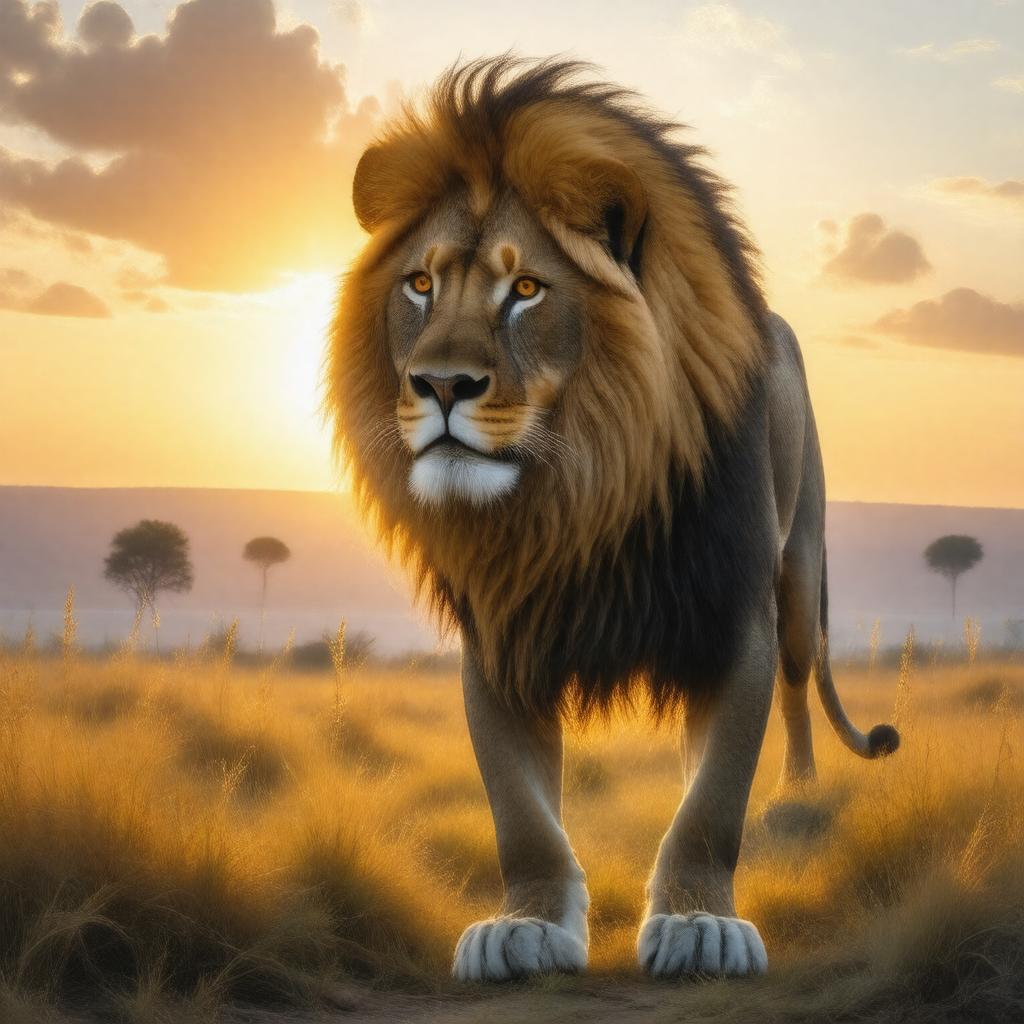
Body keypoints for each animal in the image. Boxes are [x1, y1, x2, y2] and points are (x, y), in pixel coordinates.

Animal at [327, 57, 899, 982]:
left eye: (526, 290)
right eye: (420, 283)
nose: (440, 385)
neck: (580, 491)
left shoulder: (733, 619)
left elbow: (713, 799)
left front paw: (701, 924)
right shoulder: (503, 634)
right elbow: (521, 812)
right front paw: (522, 926)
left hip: (798, 574)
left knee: (796, 691)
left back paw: (798, 793)